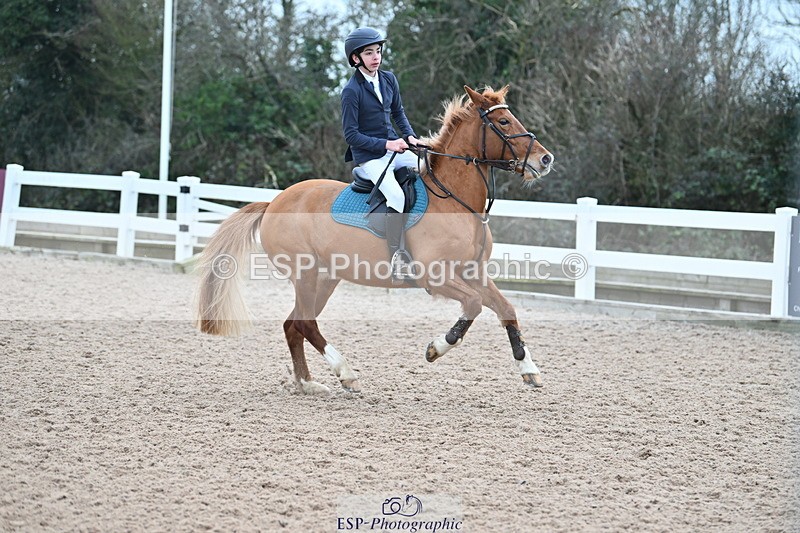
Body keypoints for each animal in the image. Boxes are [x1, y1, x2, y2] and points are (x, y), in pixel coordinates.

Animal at [193, 85, 554, 394]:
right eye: (503, 121)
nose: (545, 159)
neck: (454, 201)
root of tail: (274, 202)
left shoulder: (473, 272)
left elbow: (505, 308)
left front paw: (529, 369)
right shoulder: (435, 277)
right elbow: (474, 305)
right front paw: (437, 347)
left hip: (325, 278)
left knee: (293, 324)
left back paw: (307, 383)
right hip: (305, 274)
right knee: (306, 323)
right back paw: (345, 374)